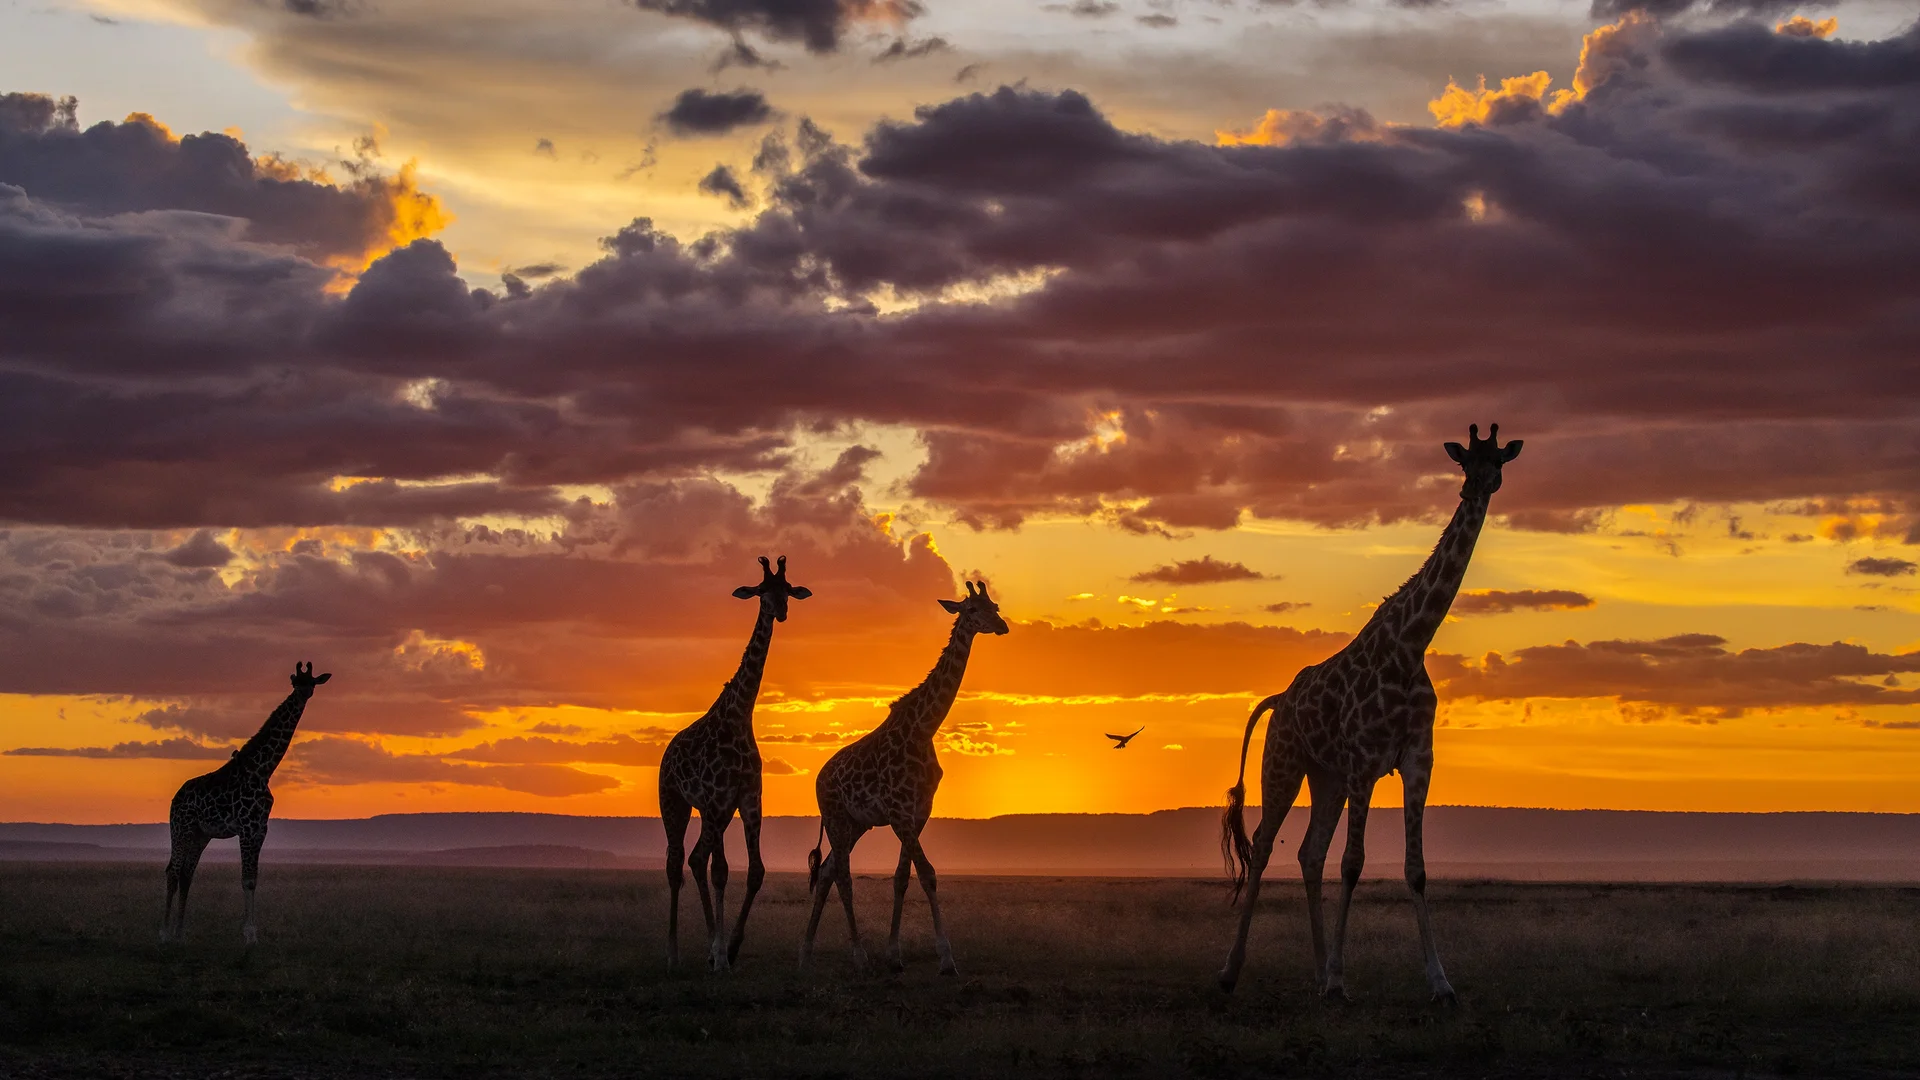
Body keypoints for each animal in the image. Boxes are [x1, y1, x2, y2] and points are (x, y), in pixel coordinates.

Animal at [161, 661, 331, 944]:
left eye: (312, 682)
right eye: (296, 681)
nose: (303, 693)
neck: (262, 770)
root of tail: (176, 798)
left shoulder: (260, 828)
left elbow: (253, 879)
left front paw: (251, 933)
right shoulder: (248, 828)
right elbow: (246, 880)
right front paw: (250, 935)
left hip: (200, 834)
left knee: (186, 873)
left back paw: (179, 933)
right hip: (181, 828)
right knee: (173, 871)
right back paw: (162, 933)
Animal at [657, 555, 811, 972]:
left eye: (787, 589)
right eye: (761, 591)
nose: (782, 611)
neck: (740, 716)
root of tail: (666, 753)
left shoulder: (747, 798)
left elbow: (753, 871)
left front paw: (730, 947)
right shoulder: (716, 799)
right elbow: (719, 870)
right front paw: (721, 953)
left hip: (715, 812)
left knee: (700, 861)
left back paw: (711, 949)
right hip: (675, 803)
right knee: (679, 862)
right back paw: (674, 953)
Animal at [798, 579, 1009, 976]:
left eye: (996, 606)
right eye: (972, 610)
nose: (1002, 626)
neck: (924, 728)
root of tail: (818, 779)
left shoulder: (920, 810)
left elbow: (902, 877)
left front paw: (894, 954)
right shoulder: (898, 811)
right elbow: (927, 873)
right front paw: (946, 959)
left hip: (856, 824)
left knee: (828, 871)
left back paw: (806, 949)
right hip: (835, 817)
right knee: (843, 876)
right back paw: (858, 956)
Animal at [1217, 424, 1523, 1000]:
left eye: (1499, 461)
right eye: (1464, 461)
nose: (1479, 485)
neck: (1410, 644)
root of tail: (1279, 701)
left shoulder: (1417, 760)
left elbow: (1415, 868)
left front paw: (1440, 983)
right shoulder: (1364, 762)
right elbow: (1353, 863)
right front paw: (1341, 980)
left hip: (1326, 777)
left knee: (1309, 853)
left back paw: (1317, 973)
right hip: (1284, 764)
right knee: (1266, 846)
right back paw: (1231, 972)